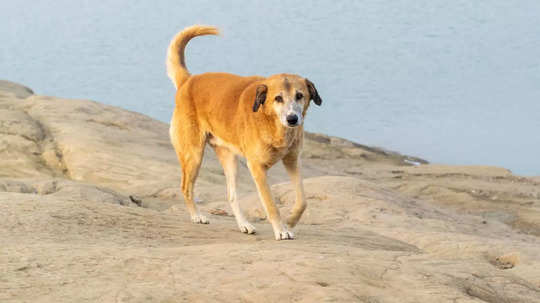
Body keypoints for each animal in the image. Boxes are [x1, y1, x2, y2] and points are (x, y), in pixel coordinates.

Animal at [167, 25, 322, 241]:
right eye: (278, 98)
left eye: (300, 96)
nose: (292, 119)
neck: (272, 123)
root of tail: (188, 80)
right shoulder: (257, 168)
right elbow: (271, 204)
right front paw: (281, 230)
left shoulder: (292, 161)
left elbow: (302, 201)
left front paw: (290, 223)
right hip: (194, 155)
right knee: (186, 187)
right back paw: (197, 216)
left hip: (230, 161)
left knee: (231, 196)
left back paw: (244, 225)